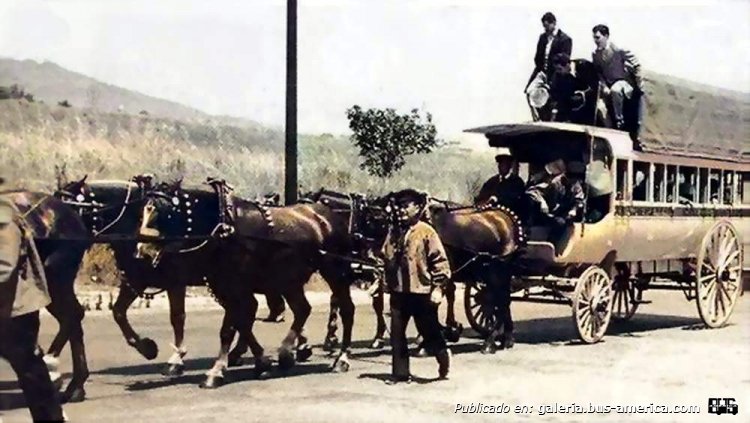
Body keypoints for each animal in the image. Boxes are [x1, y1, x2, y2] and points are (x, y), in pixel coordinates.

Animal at [135, 181, 358, 390]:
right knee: (302, 309)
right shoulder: (224, 287)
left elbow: (229, 328)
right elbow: (242, 323)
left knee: (347, 309)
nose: (142, 252)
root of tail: (328, 215)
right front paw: (261, 362)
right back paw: (286, 354)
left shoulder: (236, 287)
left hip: (335, 271)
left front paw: (216, 372)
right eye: (142, 212)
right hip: (288, 280)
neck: (223, 227)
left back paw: (341, 358)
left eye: (166, 211)